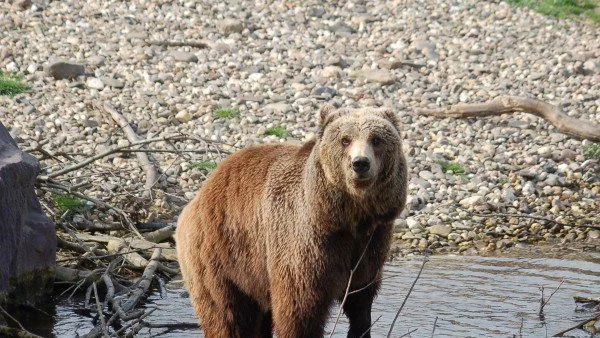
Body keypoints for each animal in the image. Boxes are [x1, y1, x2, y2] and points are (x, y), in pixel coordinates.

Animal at [175, 104, 408, 336]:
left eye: (376, 139)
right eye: (345, 139)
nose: (360, 163)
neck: (346, 217)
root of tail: (198, 195)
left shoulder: (369, 244)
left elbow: (360, 302)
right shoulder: (305, 243)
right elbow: (299, 309)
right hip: (221, 256)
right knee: (226, 314)